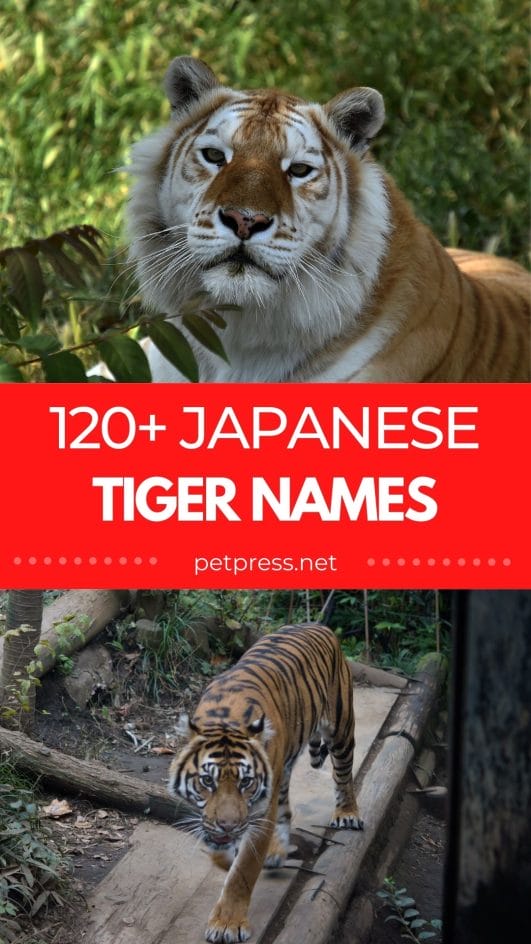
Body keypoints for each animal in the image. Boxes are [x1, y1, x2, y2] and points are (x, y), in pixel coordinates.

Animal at [168, 623, 362, 944]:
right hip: (284, 765)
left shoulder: (257, 812)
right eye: (207, 780)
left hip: (341, 727)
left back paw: (347, 814)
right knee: (284, 806)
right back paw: (275, 851)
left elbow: (242, 872)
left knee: (343, 776)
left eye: (246, 782)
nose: (228, 826)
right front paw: (226, 856)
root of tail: (318, 624)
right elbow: (220, 849)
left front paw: (227, 924)